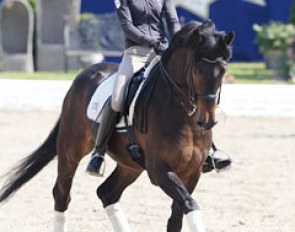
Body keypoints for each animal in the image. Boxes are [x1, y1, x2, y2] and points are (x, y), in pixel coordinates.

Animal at [0, 19, 236, 230]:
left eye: (223, 71)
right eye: (196, 71)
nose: (207, 121)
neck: (182, 116)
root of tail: (85, 73)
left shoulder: (192, 172)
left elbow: (178, 218)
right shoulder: (159, 169)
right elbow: (189, 204)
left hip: (130, 164)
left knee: (107, 192)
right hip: (70, 148)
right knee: (62, 193)